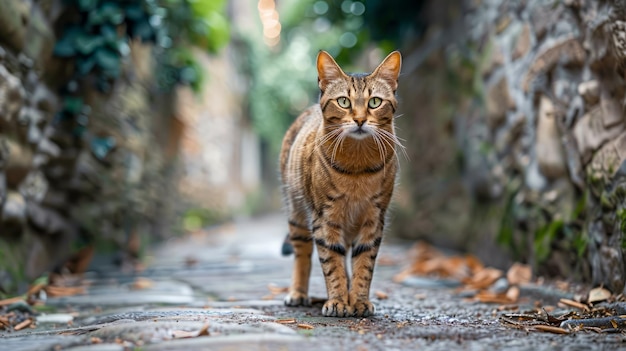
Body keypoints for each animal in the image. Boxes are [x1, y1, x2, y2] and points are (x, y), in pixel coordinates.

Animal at [278, 50, 400, 320]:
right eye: (344, 102)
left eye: (374, 102)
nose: (360, 120)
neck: (357, 170)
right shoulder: (324, 218)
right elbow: (331, 263)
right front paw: (337, 301)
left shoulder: (374, 217)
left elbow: (364, 264)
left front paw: (359, 300)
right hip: (297, 214)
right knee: (303, 253)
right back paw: (298, 293)